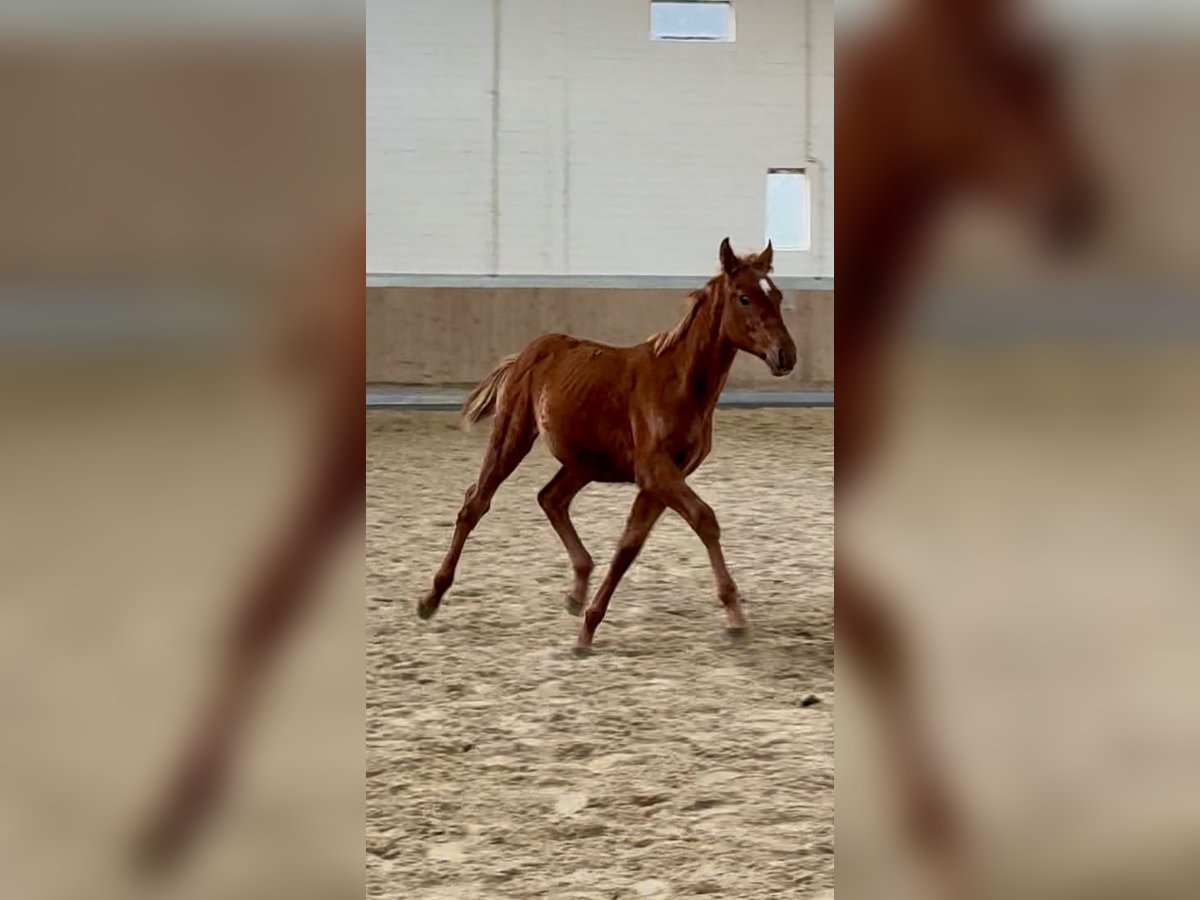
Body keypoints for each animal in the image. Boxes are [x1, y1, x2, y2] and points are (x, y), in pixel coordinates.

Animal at [416, 238, 797, 651]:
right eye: (744, 297)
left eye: (776, 295)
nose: (786, 355)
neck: (679, 383)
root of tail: (528, 353)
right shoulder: (655, 472)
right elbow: (703, 519)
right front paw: (735, 616)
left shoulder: (662, 479)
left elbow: (629, 545)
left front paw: (589, 624)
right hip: (512, 436)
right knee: (476, 503)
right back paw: (431, 598)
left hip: (584, 462)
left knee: (551, 498)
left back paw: (576, 590)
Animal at [836, 0, 1099, 886]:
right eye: (975, 69)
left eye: (1051, 66)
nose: (1078, 208)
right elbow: (882, 630)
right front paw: (937, 828)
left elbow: (886, 632)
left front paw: (936, 827)